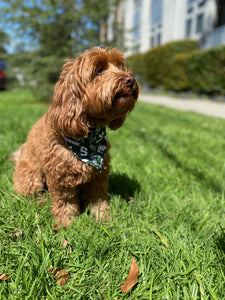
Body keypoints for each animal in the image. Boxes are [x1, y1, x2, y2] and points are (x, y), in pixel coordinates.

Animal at [12, 47, 140, 227]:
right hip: (30, 176)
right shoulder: (60, 179)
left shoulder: (99, 176)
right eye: (99, 70)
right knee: (33, 194)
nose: (130, 80)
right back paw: (42, 202)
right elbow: (65, 203)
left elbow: (98, 199)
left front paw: (104, 220)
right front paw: (66, 225)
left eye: (121, 66)